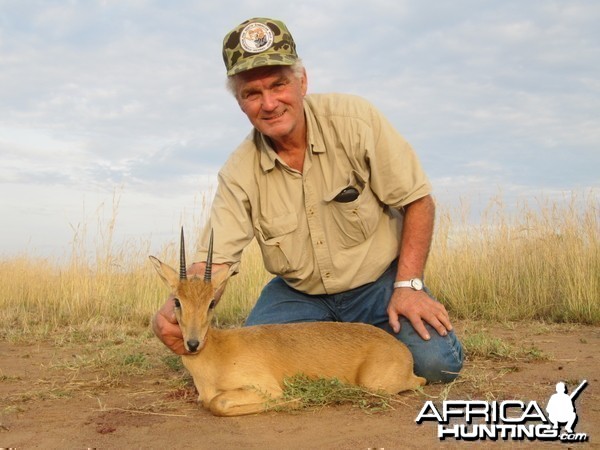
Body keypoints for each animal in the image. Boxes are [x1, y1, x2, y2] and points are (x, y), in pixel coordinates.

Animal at [150, 230, 426, 416]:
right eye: (177, 301)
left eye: (211, 303)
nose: (193, 343)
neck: (216, 354)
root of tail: (403, 352)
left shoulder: (265, 387)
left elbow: (218, 403)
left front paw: (296, 400)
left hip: (375, 383)